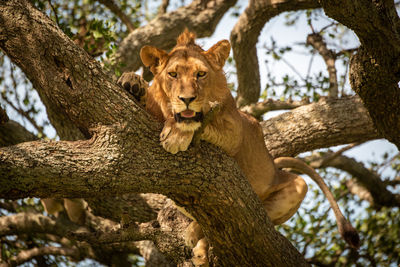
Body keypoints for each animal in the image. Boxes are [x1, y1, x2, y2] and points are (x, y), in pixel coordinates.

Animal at [118, 29, 360, 267]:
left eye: (201, 74)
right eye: (173, 75)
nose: (187, 99)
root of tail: (275, 167)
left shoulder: (236, 129)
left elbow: (201, 124)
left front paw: (177, 134)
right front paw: (132, 83)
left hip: (296, 187)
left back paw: (198, 241)